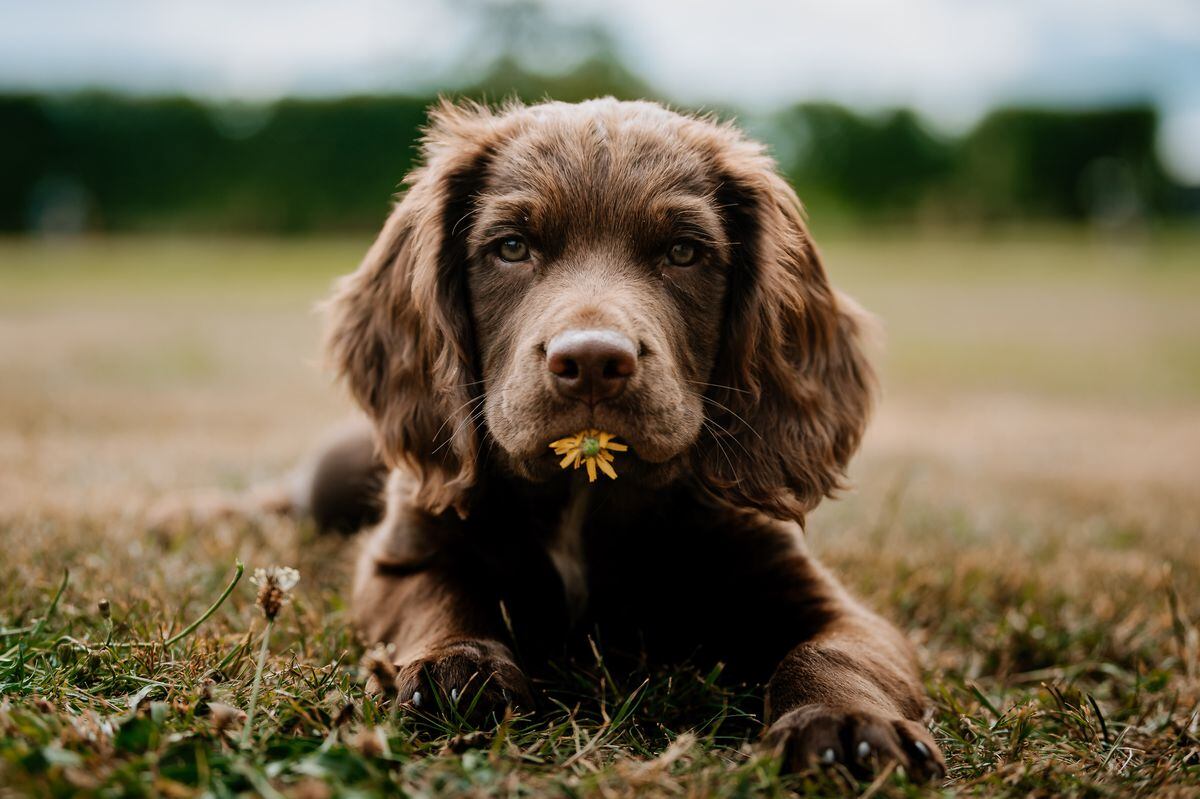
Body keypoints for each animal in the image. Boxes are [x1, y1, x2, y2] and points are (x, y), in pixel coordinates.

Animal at [316, 96, 945, 772]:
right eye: (511, 246)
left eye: (684, 252)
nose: (592, 360)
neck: (584, 489)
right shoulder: (401, 557)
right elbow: (439, 598)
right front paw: (453, 670)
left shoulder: (818, 594)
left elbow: (835, 651)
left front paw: (844, 723)